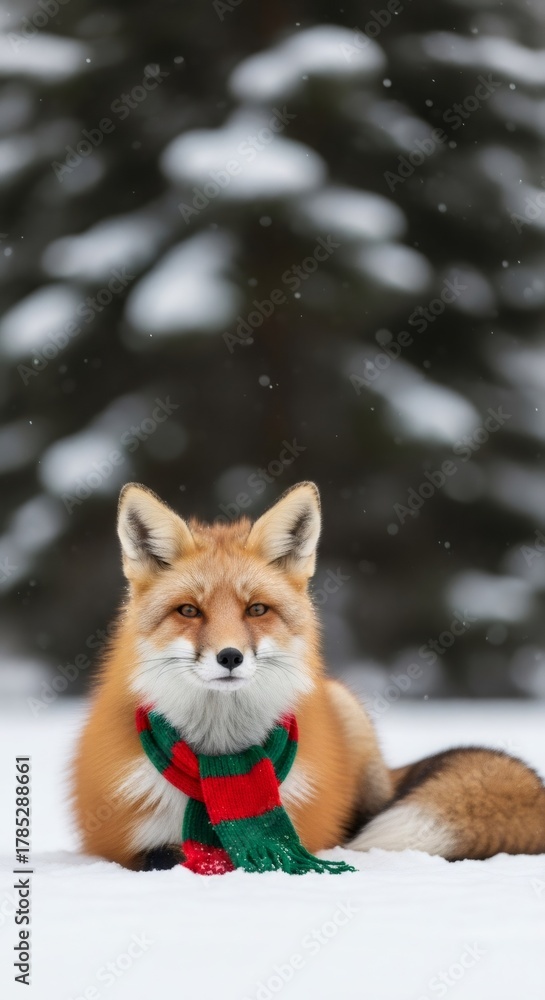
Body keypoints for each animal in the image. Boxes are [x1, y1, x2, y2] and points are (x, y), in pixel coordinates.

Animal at [72, 481, 545, 870]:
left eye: (256, 609)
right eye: (189, 610)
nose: (230, 657)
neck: (223, 756)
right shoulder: (127, 843)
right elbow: (162, 855)